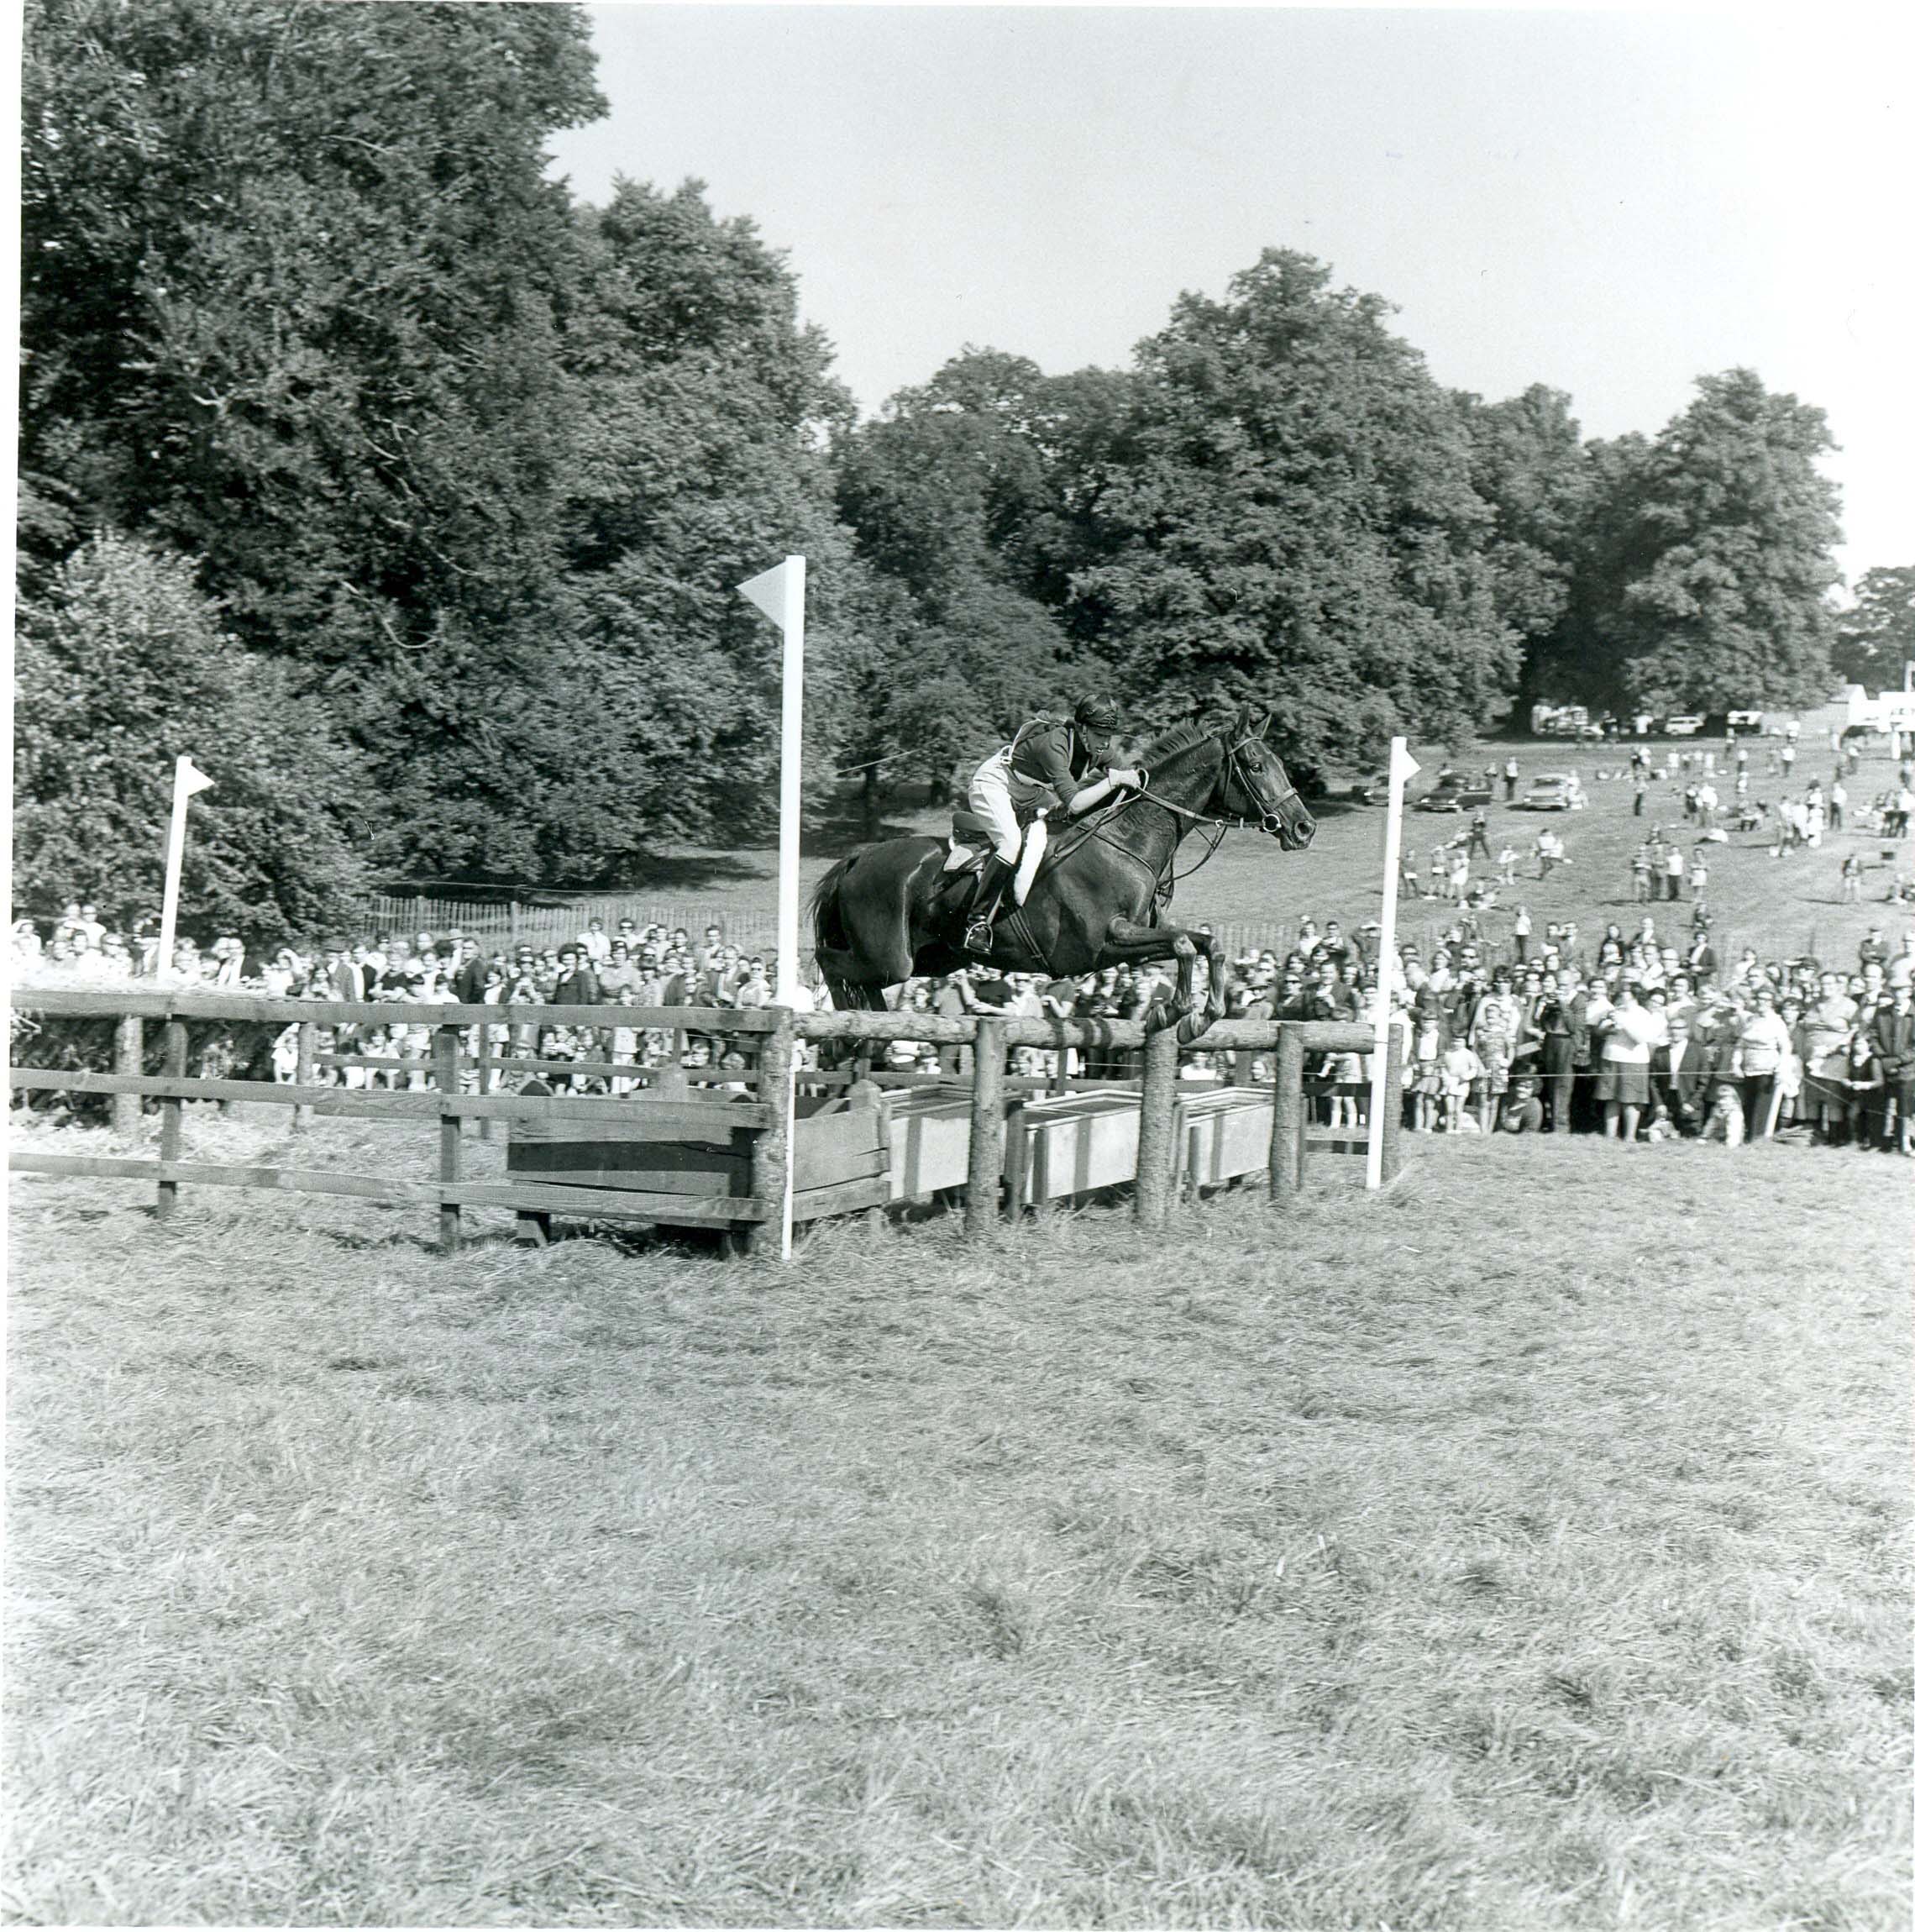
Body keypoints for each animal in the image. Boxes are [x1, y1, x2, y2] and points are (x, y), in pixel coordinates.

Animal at [807, 711, 1314, 1035]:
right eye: (1255, 766)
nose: (1304, 828)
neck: (1127, 842)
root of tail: (856, 859)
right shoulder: (1102, 942)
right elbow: (1186, 945)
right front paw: (1174, 1014)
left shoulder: (1134, 944)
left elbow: (1206, 944)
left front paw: (1202, 1015)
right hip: (891, 955)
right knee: (831, 962)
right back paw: (845, 1023)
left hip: (937, 957)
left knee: (866, 977)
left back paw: (872, 1021)